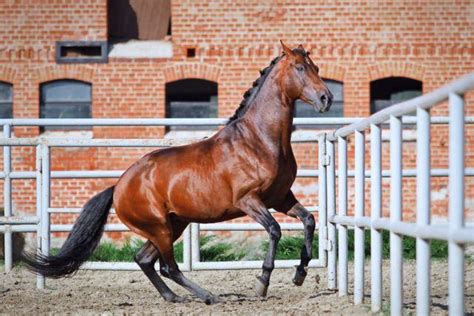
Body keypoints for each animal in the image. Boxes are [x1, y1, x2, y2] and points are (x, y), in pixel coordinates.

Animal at [23, 41, 334, 304]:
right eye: (300, 68)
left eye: (317, 68)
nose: (326, 98)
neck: (259, 140)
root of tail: (119, 185)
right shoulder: (249, 201)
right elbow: (274, 230)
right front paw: (262, 282)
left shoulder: (280, 198)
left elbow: (309, 221)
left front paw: (300, 274)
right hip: (159, 228)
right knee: (167, 266)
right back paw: (209, 296)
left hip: (172, 225)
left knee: (144, 259)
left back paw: (174, 297)